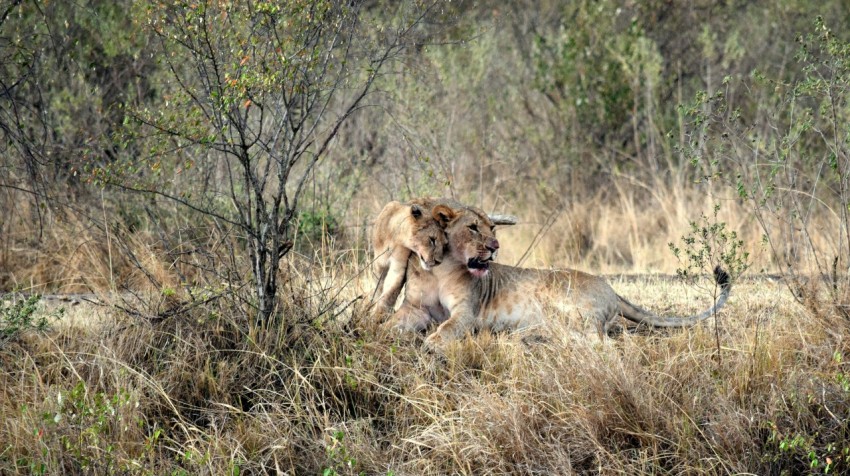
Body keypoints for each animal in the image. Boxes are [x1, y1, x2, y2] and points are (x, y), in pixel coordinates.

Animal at [383, 204, 731, 352]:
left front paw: (432, 343)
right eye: (472, 228)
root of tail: (610, 287)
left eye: (493, 228)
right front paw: (376, 330)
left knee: (601, 341)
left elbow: (447, 327)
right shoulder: (416, 308)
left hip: (561, 301)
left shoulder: (466, 312)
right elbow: (392, 321)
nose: (495, 247)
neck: (440, 267)